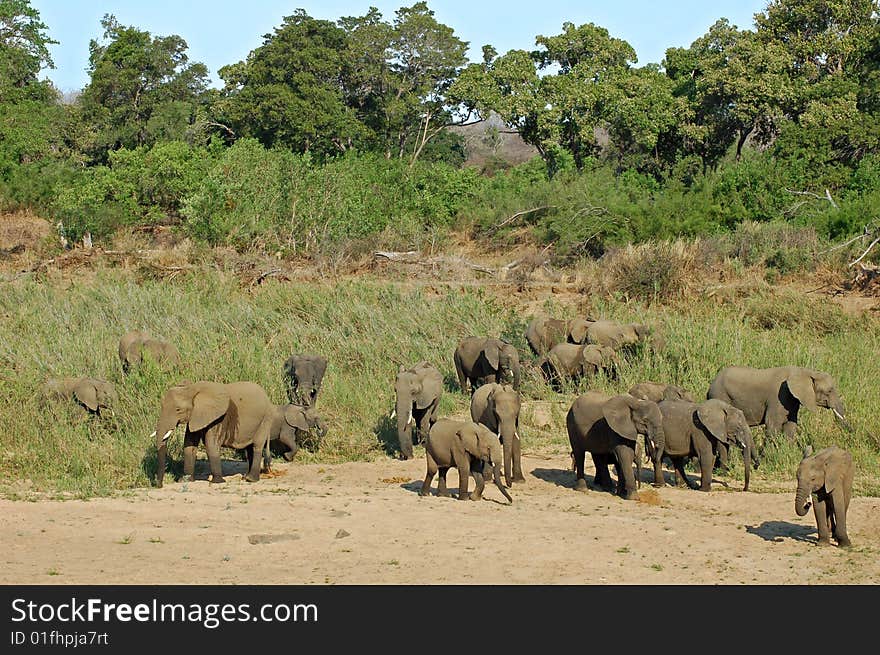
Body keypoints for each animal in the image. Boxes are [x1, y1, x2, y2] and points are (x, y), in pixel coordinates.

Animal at [704, 364, 848, 440]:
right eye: (829, 391)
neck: (804, 371)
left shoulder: (792, 400)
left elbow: (791, 425)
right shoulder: (779, 396)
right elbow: (773, 424)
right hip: (721, 395)